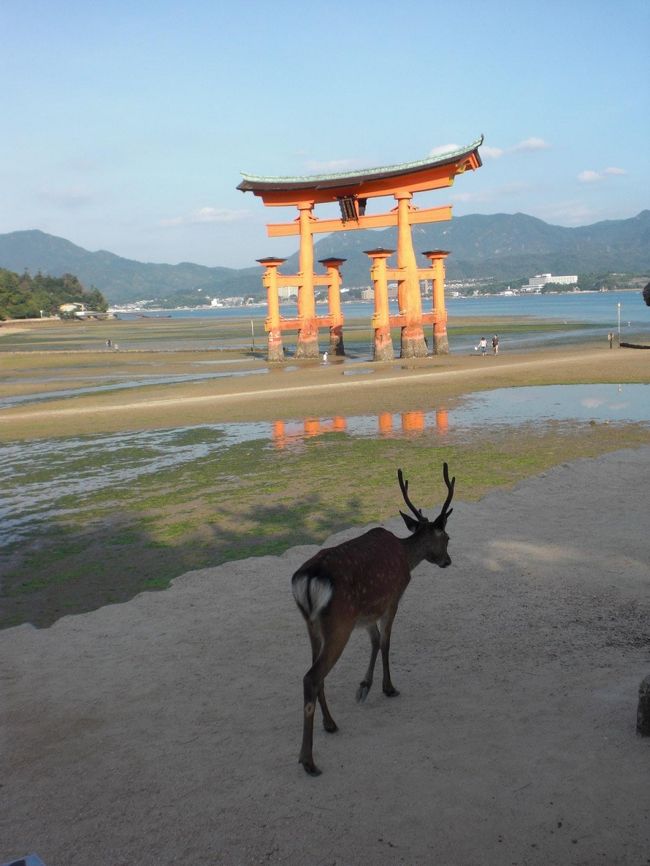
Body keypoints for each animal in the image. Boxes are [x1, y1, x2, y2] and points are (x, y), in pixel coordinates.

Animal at [292, 462, 454, 772]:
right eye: (448, 538)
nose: (447, 561)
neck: (407, 557)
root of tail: (306, 580)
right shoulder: (392, 598)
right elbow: (387, 642)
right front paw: (388, 688)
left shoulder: (366, 615)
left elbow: (375, 642)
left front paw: (364, 687)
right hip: (339, 623)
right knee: (311, 676)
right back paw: (308, 761)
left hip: (312, 625)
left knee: (315, 674)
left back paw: (330, 724)